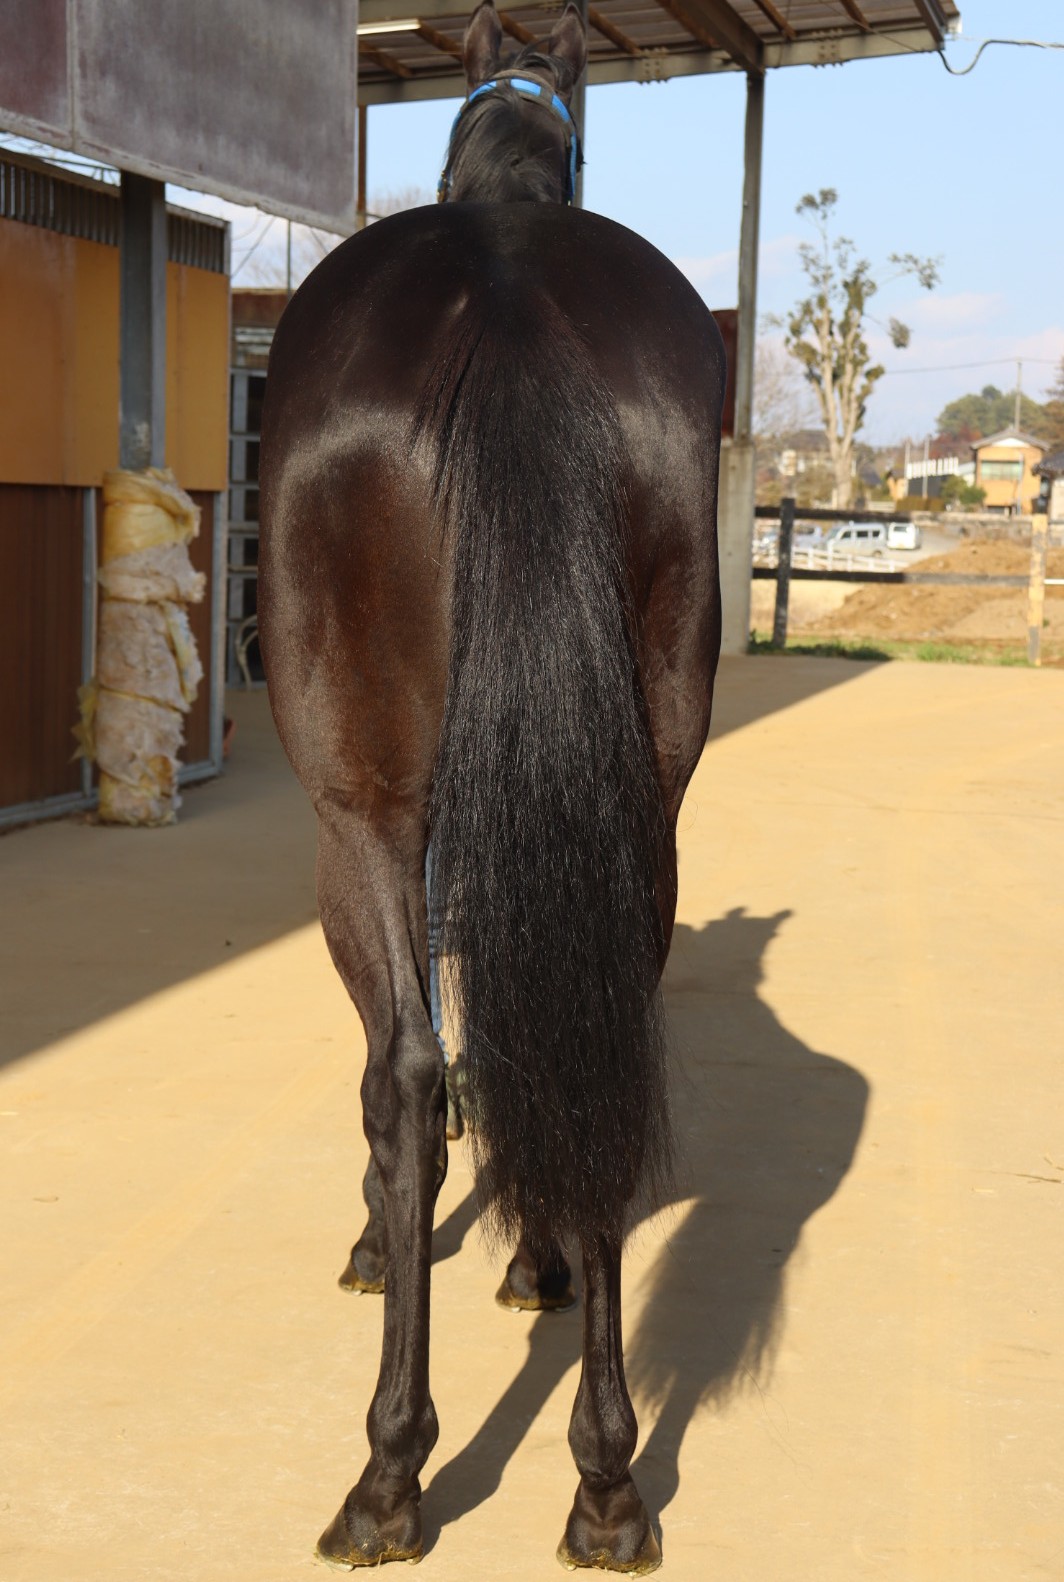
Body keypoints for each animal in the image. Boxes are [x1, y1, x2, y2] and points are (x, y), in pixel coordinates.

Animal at [257, 1, 724, 1569]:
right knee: (597, 1037)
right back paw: (606, 1483)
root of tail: (508, 293)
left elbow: (403, 1066)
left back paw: (390, 1473)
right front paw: (530, 1257)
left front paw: (379, 1241)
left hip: (358, 816)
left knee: (407, 1070)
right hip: (641, 795)